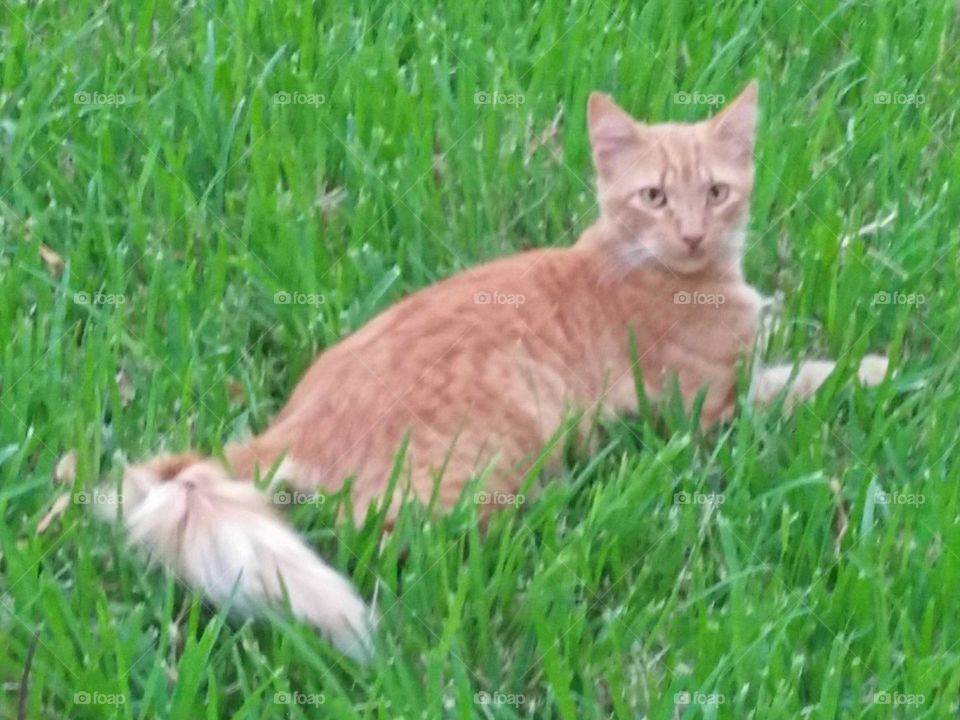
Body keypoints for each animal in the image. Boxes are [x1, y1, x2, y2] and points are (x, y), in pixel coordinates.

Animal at [110, 83, 884, 660]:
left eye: (717, 193)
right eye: (655, 197)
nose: (693, 233)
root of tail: (290, 423)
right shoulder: (711, 405)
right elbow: (810, 377)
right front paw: (879, 366)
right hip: (489, 456)